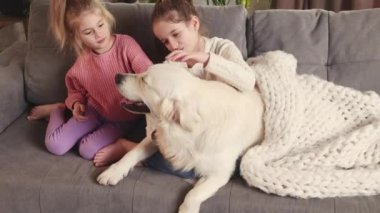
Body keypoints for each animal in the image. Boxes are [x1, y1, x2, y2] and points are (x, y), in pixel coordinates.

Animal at [98, 63, 264, 213]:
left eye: (144, 80)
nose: (117, 76)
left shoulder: (220, 173)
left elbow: (193, 194)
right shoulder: (157, 136)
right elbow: (132, 153)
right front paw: (112, 172)